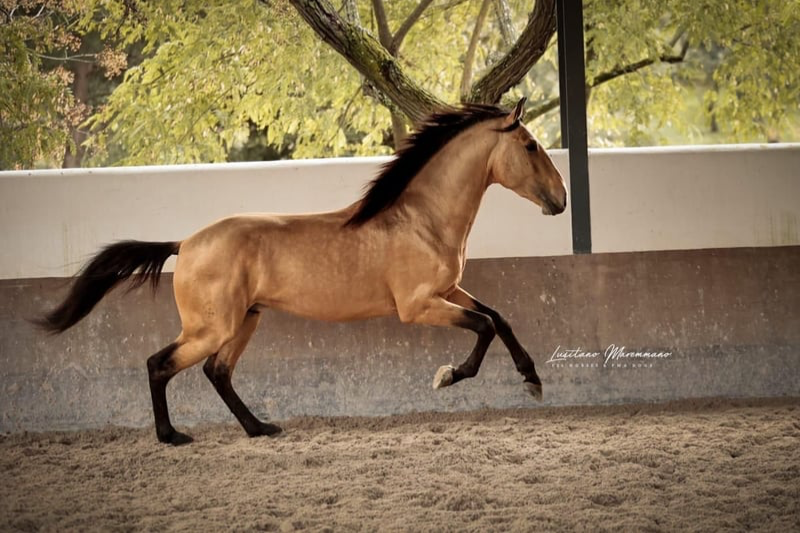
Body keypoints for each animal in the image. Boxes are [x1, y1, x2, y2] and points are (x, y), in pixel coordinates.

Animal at [37, 97, 568, 445]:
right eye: (531, 145)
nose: (561, 200)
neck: (421, 219)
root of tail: (184, 245)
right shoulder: (418, 305)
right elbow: (483, 327)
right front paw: (448, 376)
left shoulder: (449, 289)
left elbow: (499, 318)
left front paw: (533, 380)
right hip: (212, 327)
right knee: (160, 363)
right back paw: (173, 436)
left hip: (245, 320)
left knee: (216, 371)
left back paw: (260, 428)